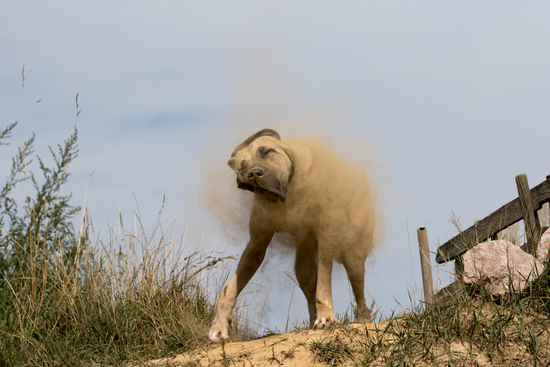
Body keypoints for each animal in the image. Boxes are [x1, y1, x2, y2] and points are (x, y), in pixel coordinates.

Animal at [209, 129, 378, 342]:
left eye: (268, 151)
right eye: (242, 164)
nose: (254, 173)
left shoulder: (326, 235)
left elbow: (324, 284)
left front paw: (326, 317)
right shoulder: (256, 245)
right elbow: (229, 289)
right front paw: (220, 323)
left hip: (353, 256)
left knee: (359, 292)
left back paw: (363, 319)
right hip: (304, 261)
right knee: (309, 282)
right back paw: (313, 319)